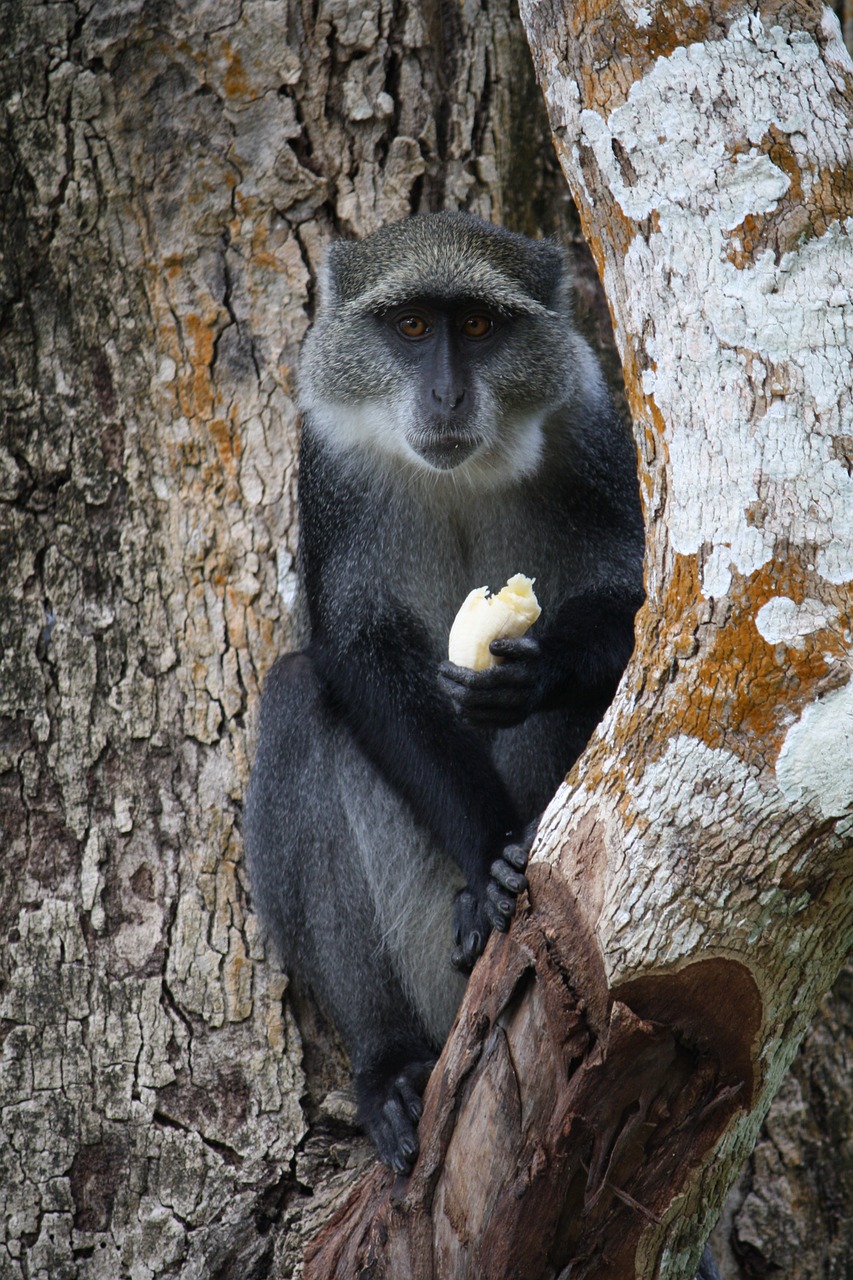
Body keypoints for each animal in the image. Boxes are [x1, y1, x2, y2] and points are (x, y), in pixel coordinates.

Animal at [242, 212, 640, 1177]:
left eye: (482, 327)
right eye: (414, 327)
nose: (448, 395)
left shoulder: (589, 424)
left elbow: (629, 602)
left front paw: (537, 670)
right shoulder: (330, 465)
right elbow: (354, 651)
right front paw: (487, 851)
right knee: (298, 696)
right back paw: (390, 1058)